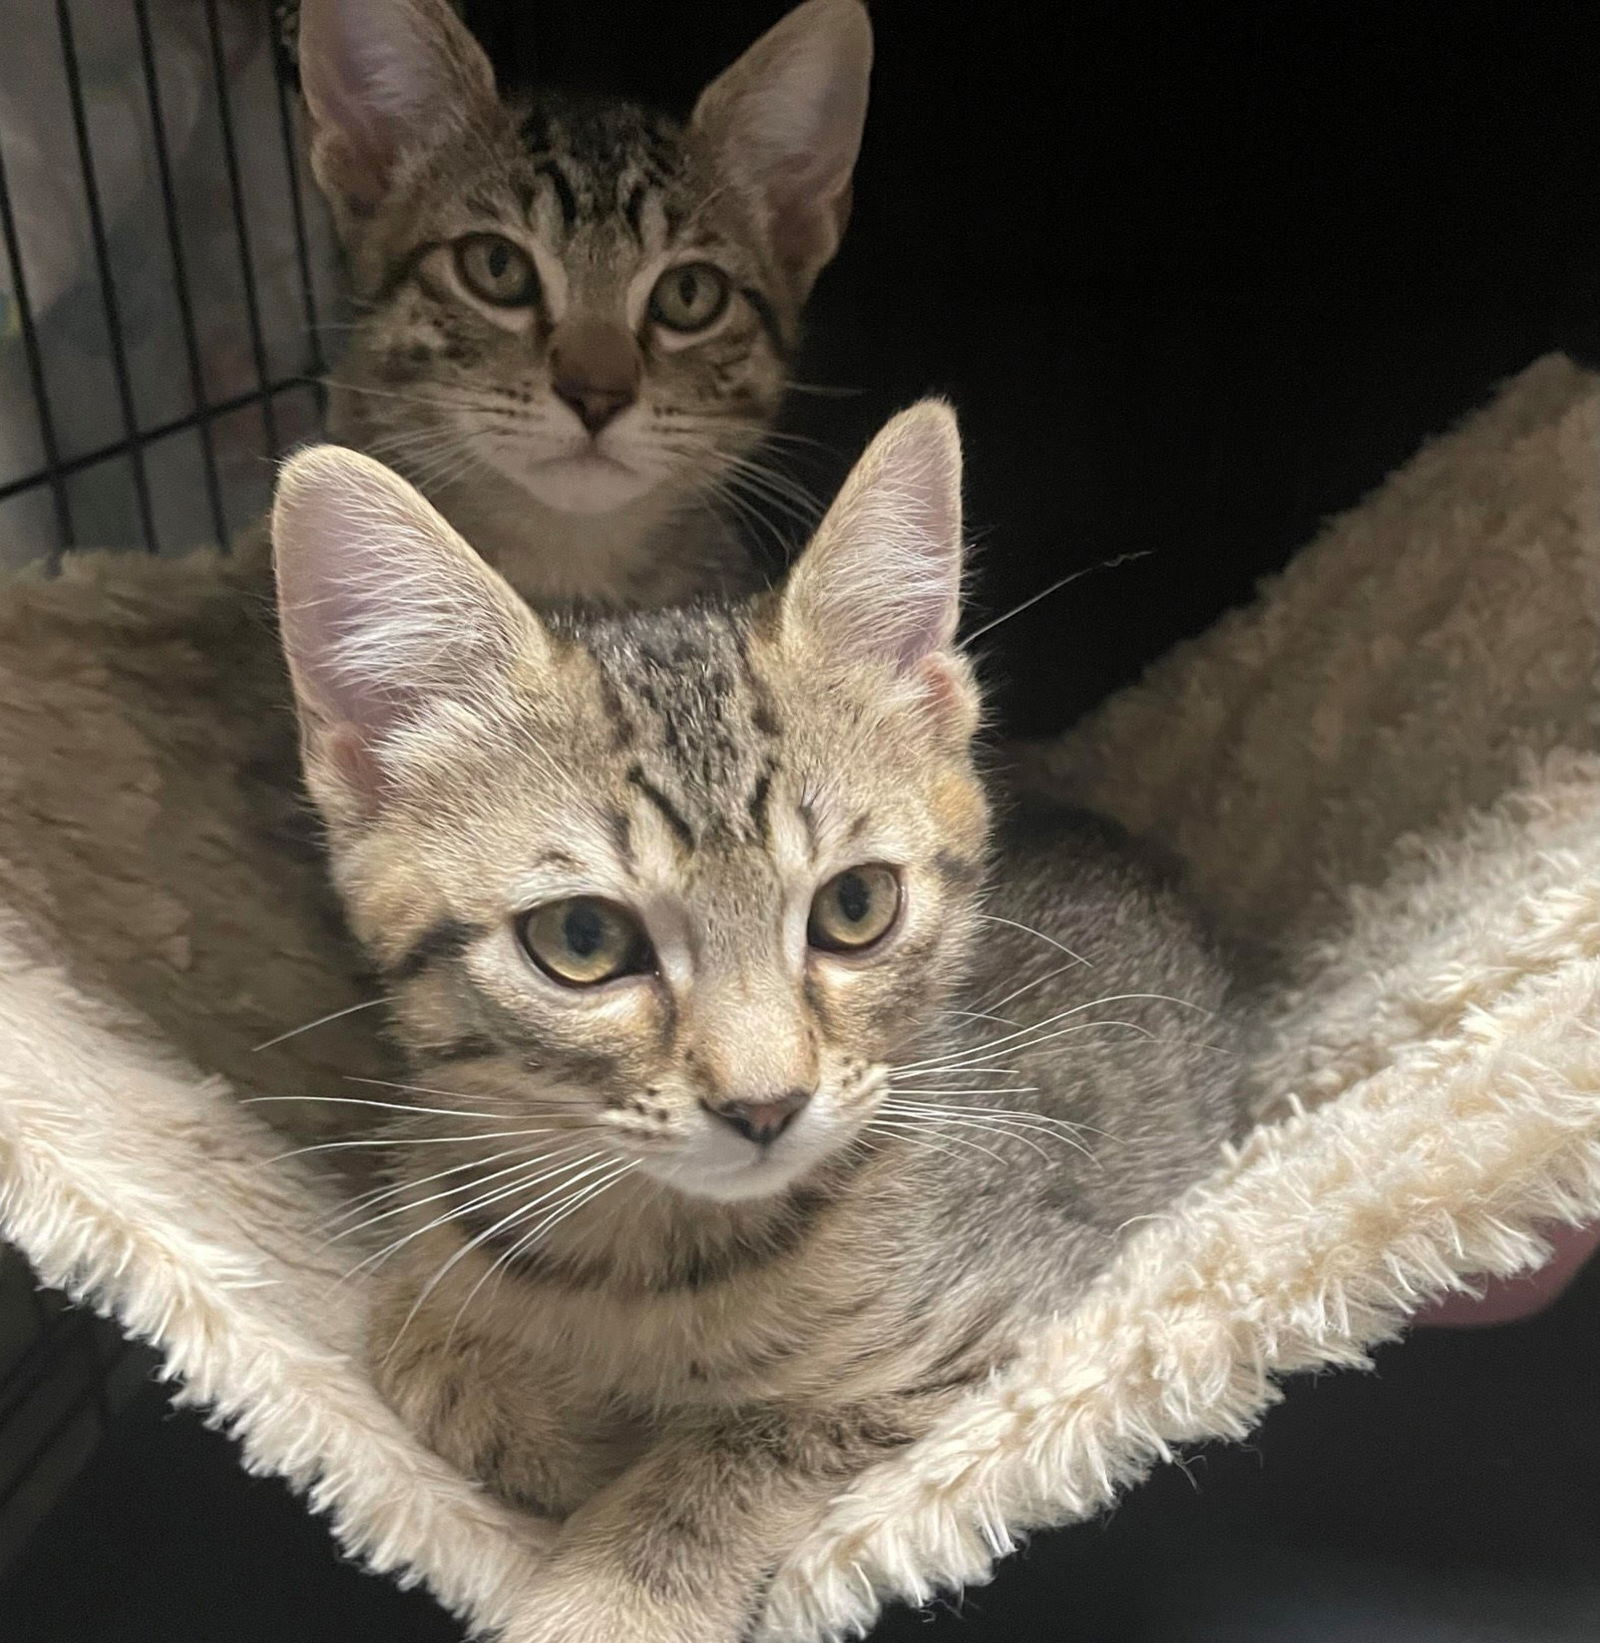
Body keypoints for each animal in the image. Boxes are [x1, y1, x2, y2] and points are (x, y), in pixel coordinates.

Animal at [272, 414, 1255, 1643]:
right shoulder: (429, 1225)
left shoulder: (1031, 1308)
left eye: (856, 905)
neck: (635, 1257)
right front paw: (560, 1423)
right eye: (582, 937)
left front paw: (613, 1582)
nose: (766, 1103)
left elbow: (747, 1436)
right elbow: (411, 1338)